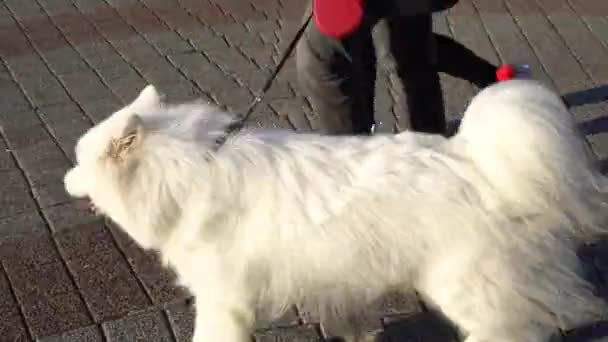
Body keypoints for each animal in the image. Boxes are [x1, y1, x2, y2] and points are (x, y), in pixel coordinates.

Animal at [64, 81, 608, 342]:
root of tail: (480, 162)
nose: (63, 178)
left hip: (462, 284)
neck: (191, 171)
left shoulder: (224, 299)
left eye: (79, 161)